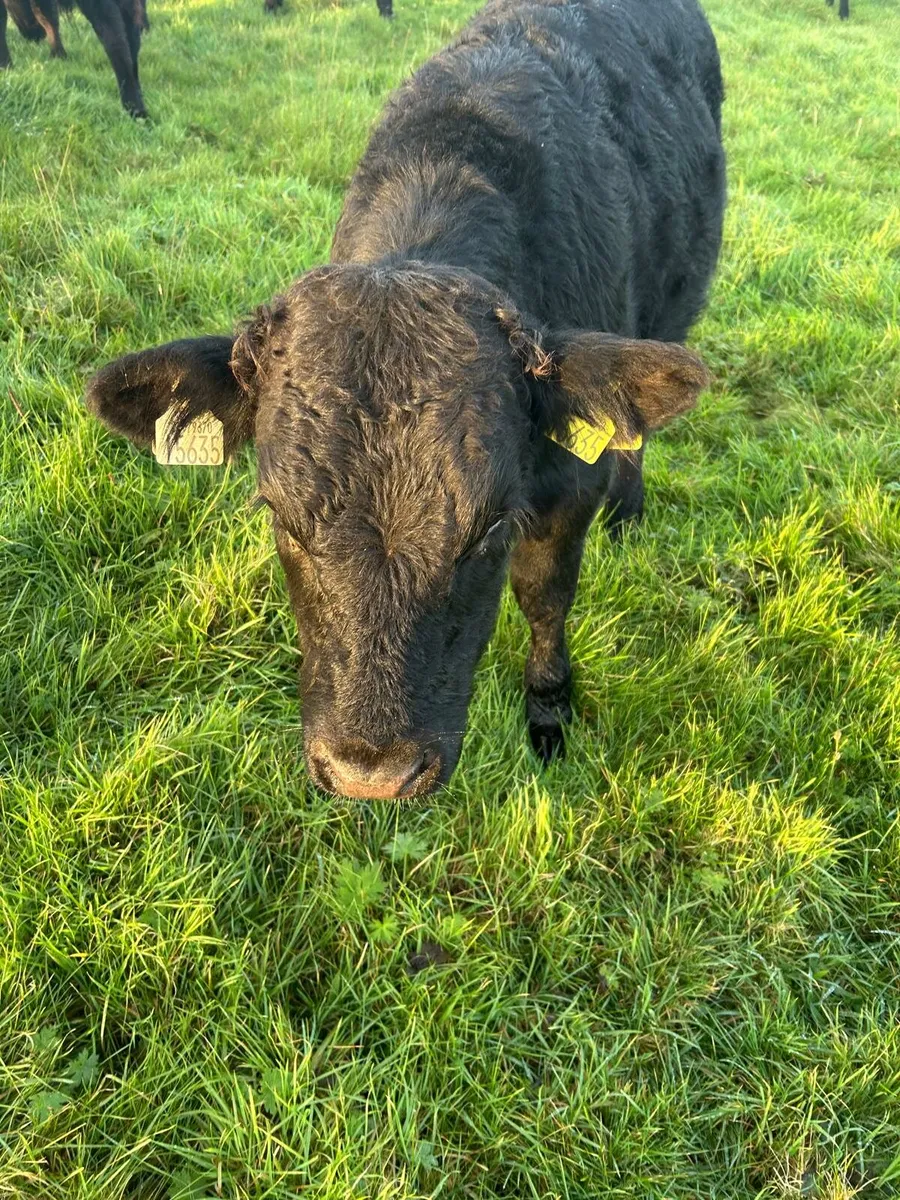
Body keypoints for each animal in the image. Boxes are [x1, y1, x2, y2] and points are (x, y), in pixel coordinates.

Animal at [86, 0, 726, 800]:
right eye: (280, 517)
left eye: (491, 527)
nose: (373, 773)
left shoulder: (570, 484)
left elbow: (546, 596)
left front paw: (549, 711)